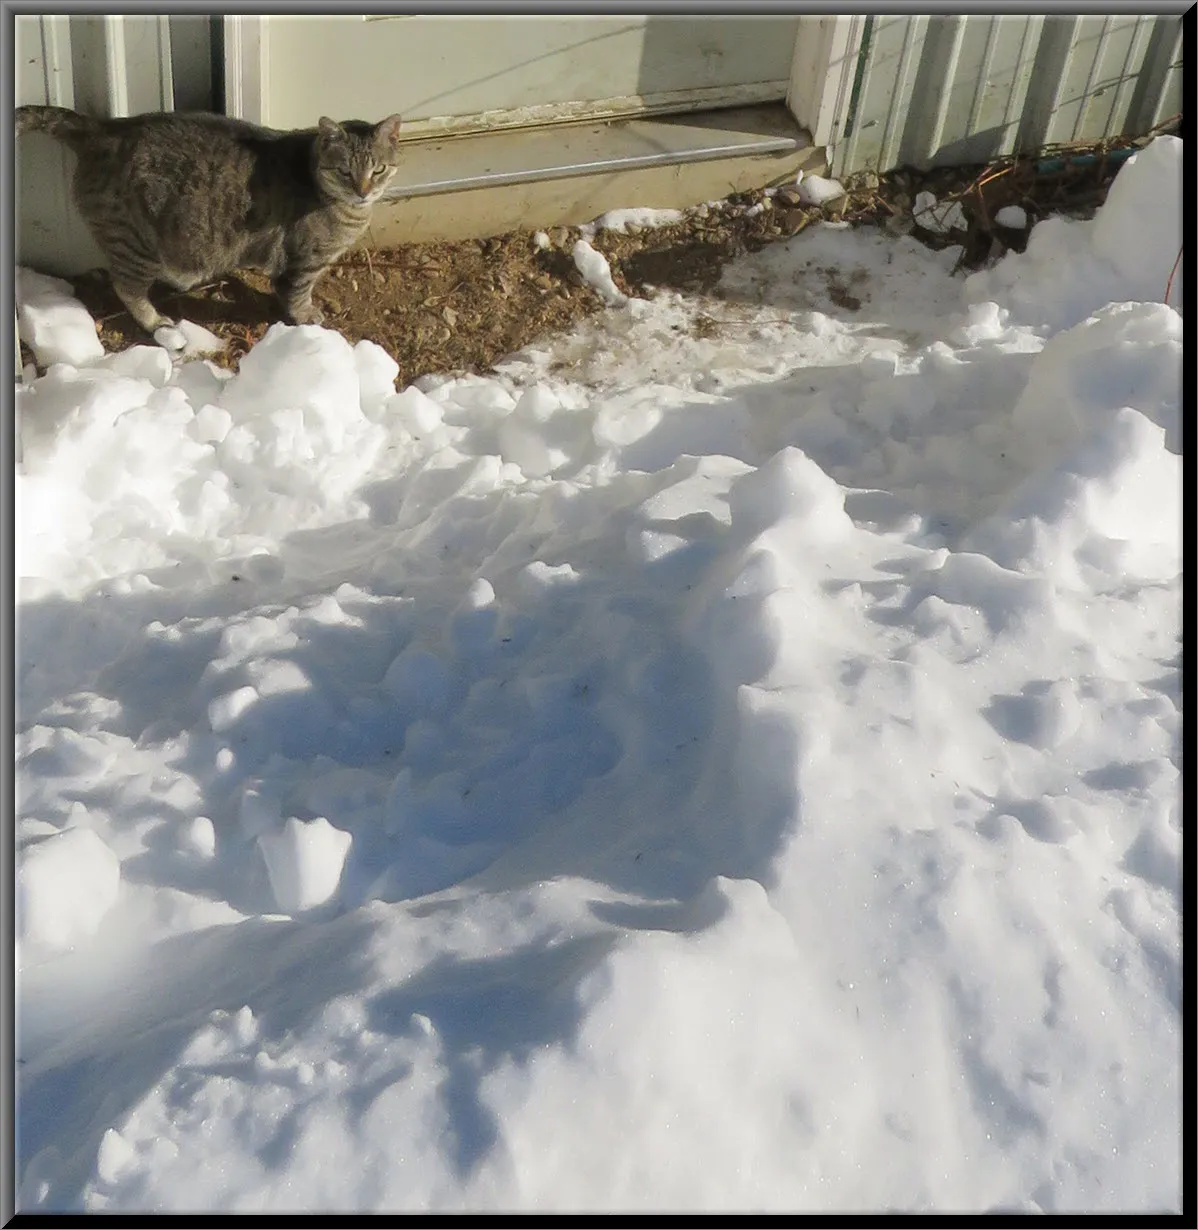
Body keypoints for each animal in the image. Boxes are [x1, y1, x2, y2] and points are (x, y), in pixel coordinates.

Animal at [16, 104, 405, 332]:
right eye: (344, 171)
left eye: (379, 169)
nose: (363, 190)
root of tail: (101, 128)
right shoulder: (305, 261)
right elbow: (297, 294)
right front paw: (306, 316)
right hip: (134, 243)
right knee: (126, 287)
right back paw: (156, 323)